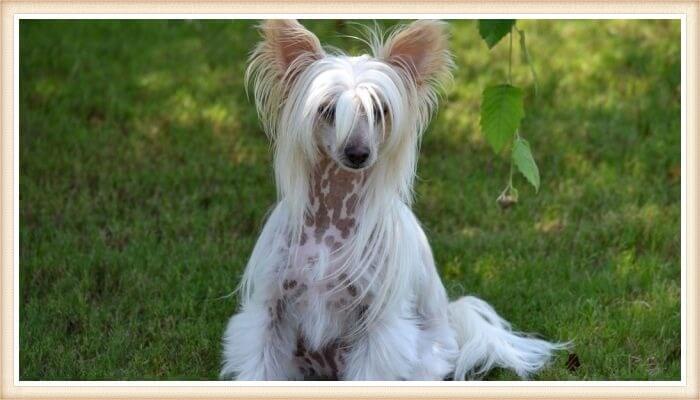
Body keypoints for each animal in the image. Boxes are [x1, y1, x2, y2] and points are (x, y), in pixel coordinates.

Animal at [221, 19, 568, 382]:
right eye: (328, 110)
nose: (358, 153)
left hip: (425, 360)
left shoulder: (378, 327)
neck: (331, 218)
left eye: (379, 110)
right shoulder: (269, 313)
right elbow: (260, 367)